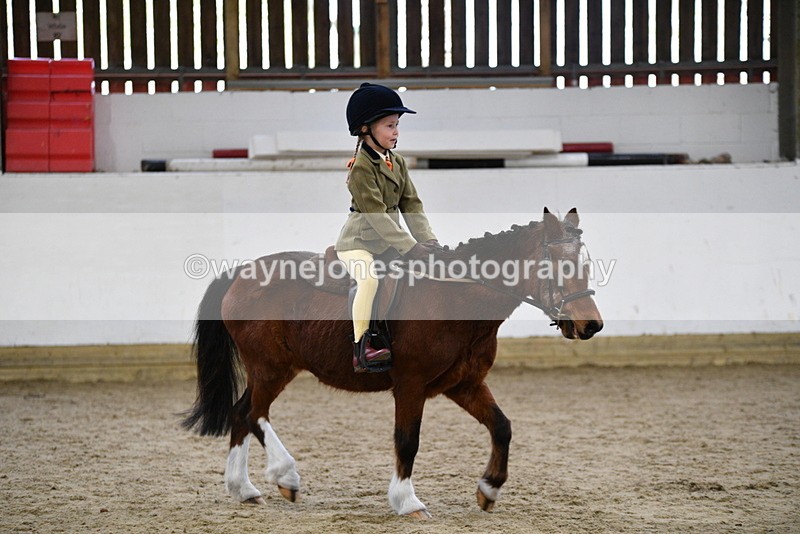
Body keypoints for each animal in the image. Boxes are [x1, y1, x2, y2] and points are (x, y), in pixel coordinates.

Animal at [182, 207, 603, 519]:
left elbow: (501, 427)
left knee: (241, 413)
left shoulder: (464, 384)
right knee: (253, 414)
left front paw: (489, 488)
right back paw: (285, 475)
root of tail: (241, 274)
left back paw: (244, 490)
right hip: (271, 368)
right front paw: (407, 501)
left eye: (586, 264)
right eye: (561, 266)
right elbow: (408, 441)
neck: (455, 298)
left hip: (268, 371)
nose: (592, 324)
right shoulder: (410, 385)